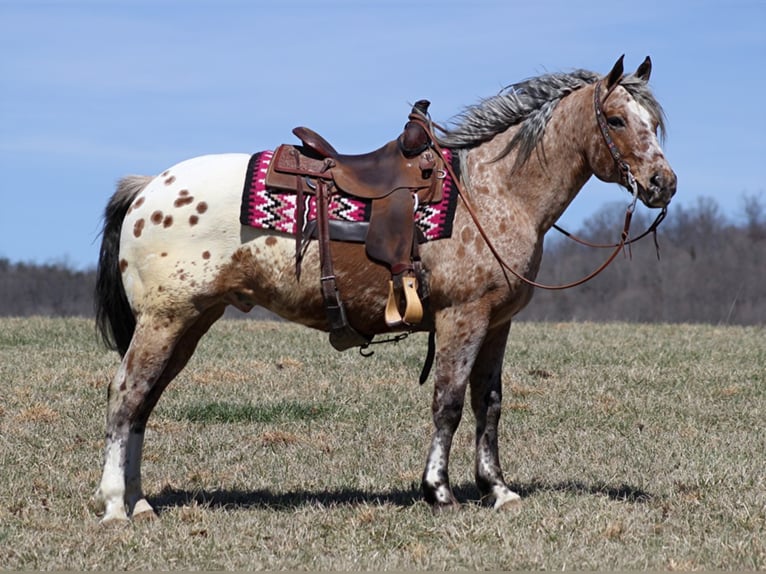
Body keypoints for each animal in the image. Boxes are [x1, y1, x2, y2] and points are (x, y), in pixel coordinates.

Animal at [91, 56, 680, 524]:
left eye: (655, 123)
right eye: (615, 118)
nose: (664, 184)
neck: (493, 192)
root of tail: (147, 188)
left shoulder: (497, 322)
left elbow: (488, 404)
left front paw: (498, 489)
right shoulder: (461, 318)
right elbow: (448, 401)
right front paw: (439, 491)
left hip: (190, 322)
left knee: (144, 401)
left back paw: (140, 502)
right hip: (165, 320)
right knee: (126, 395)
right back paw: (116, 504)